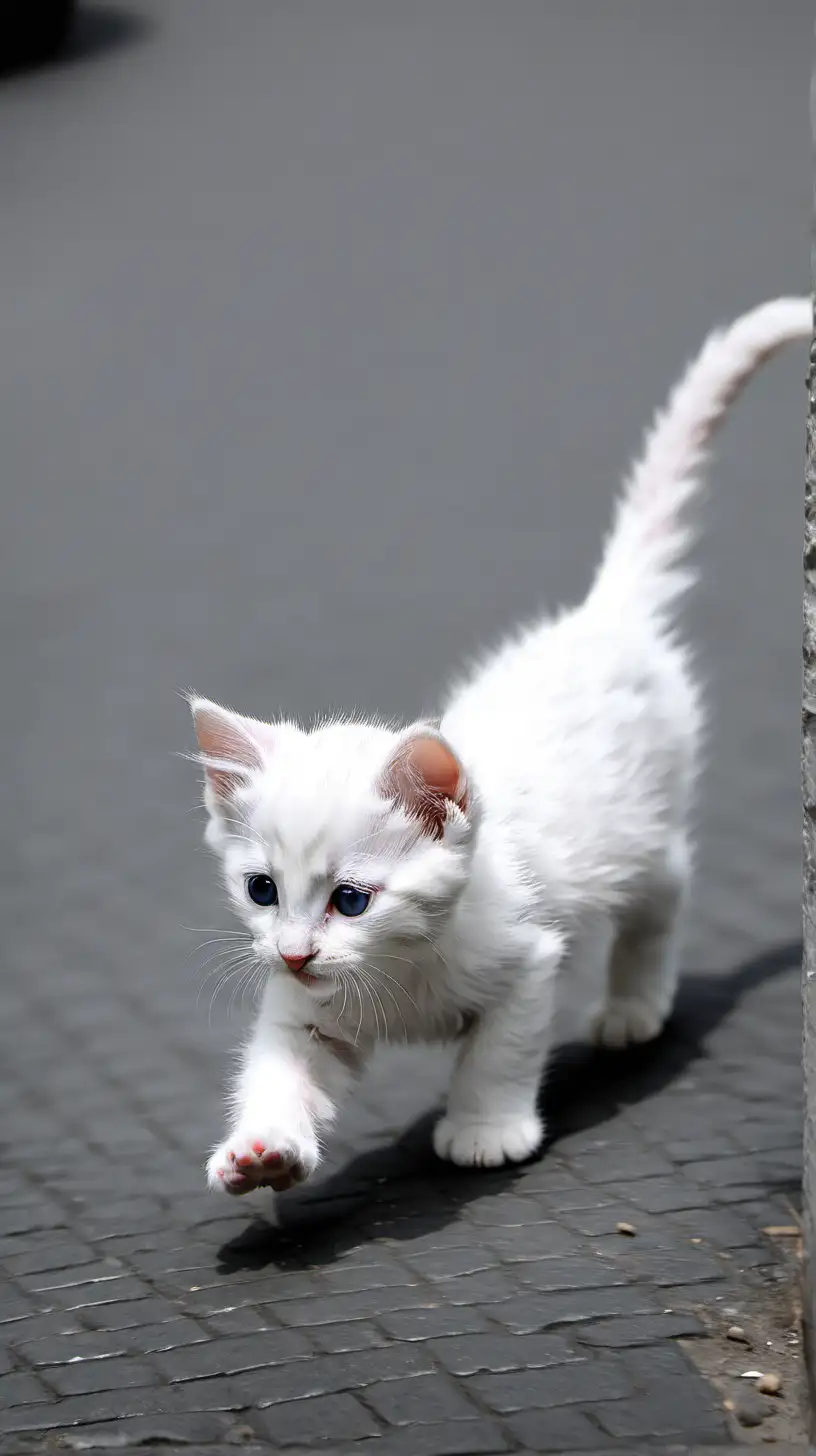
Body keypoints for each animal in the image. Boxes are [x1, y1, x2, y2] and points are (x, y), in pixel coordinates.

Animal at [190, 295, 810, 1193]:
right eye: (261, 889)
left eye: (352, 899)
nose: (298, 952)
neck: (399, 971)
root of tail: (603, 615)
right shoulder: (306, 1011)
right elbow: (278, 1069)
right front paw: (262, 1150)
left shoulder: (525, 960)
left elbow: (498, 1053)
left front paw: (486, 1130)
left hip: (636, 833)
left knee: (667, 886)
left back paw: (634, 1006)